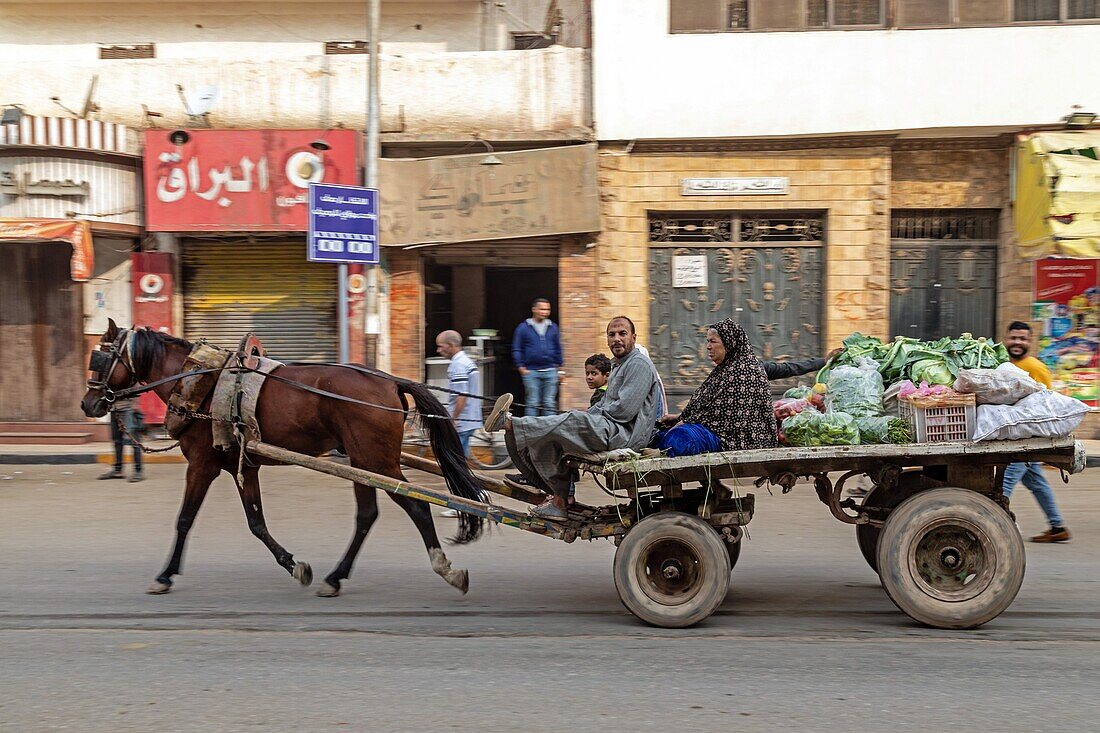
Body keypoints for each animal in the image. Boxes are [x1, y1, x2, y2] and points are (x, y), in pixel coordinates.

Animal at [79, 323, 484, 598]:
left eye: (100, 357)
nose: (88, 403)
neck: (197, 381)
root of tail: (389, 380)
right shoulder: (242, 464)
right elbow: (256, 522)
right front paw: (295, 566)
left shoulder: (202, 465)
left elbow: (184, 520)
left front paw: (165, 575)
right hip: (362, 461)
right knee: (368, 516)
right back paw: (335, 577)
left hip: (376, 462)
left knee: (415, 507)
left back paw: (445, 569)